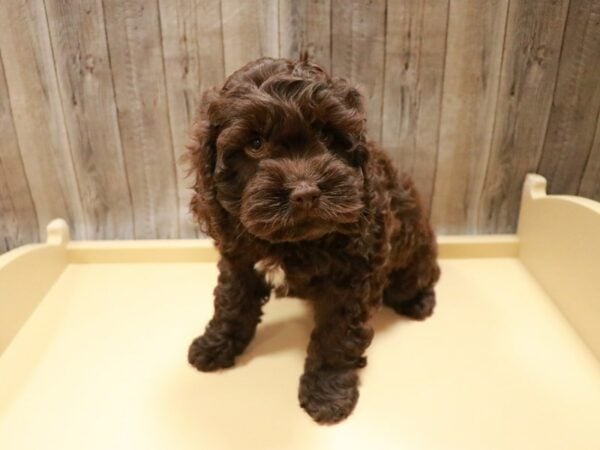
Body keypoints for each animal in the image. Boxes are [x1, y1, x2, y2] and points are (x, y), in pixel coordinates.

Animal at [185, 55, 438, 422]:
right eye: (255, 144)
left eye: (327, 135)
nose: (305, 193)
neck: (294, 243)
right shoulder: (239, 260)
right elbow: (231, 303)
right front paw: (215, 345)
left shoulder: (353, 282)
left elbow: (336, 337)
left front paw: (327, 394)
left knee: (425, 274)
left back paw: (419, 301)